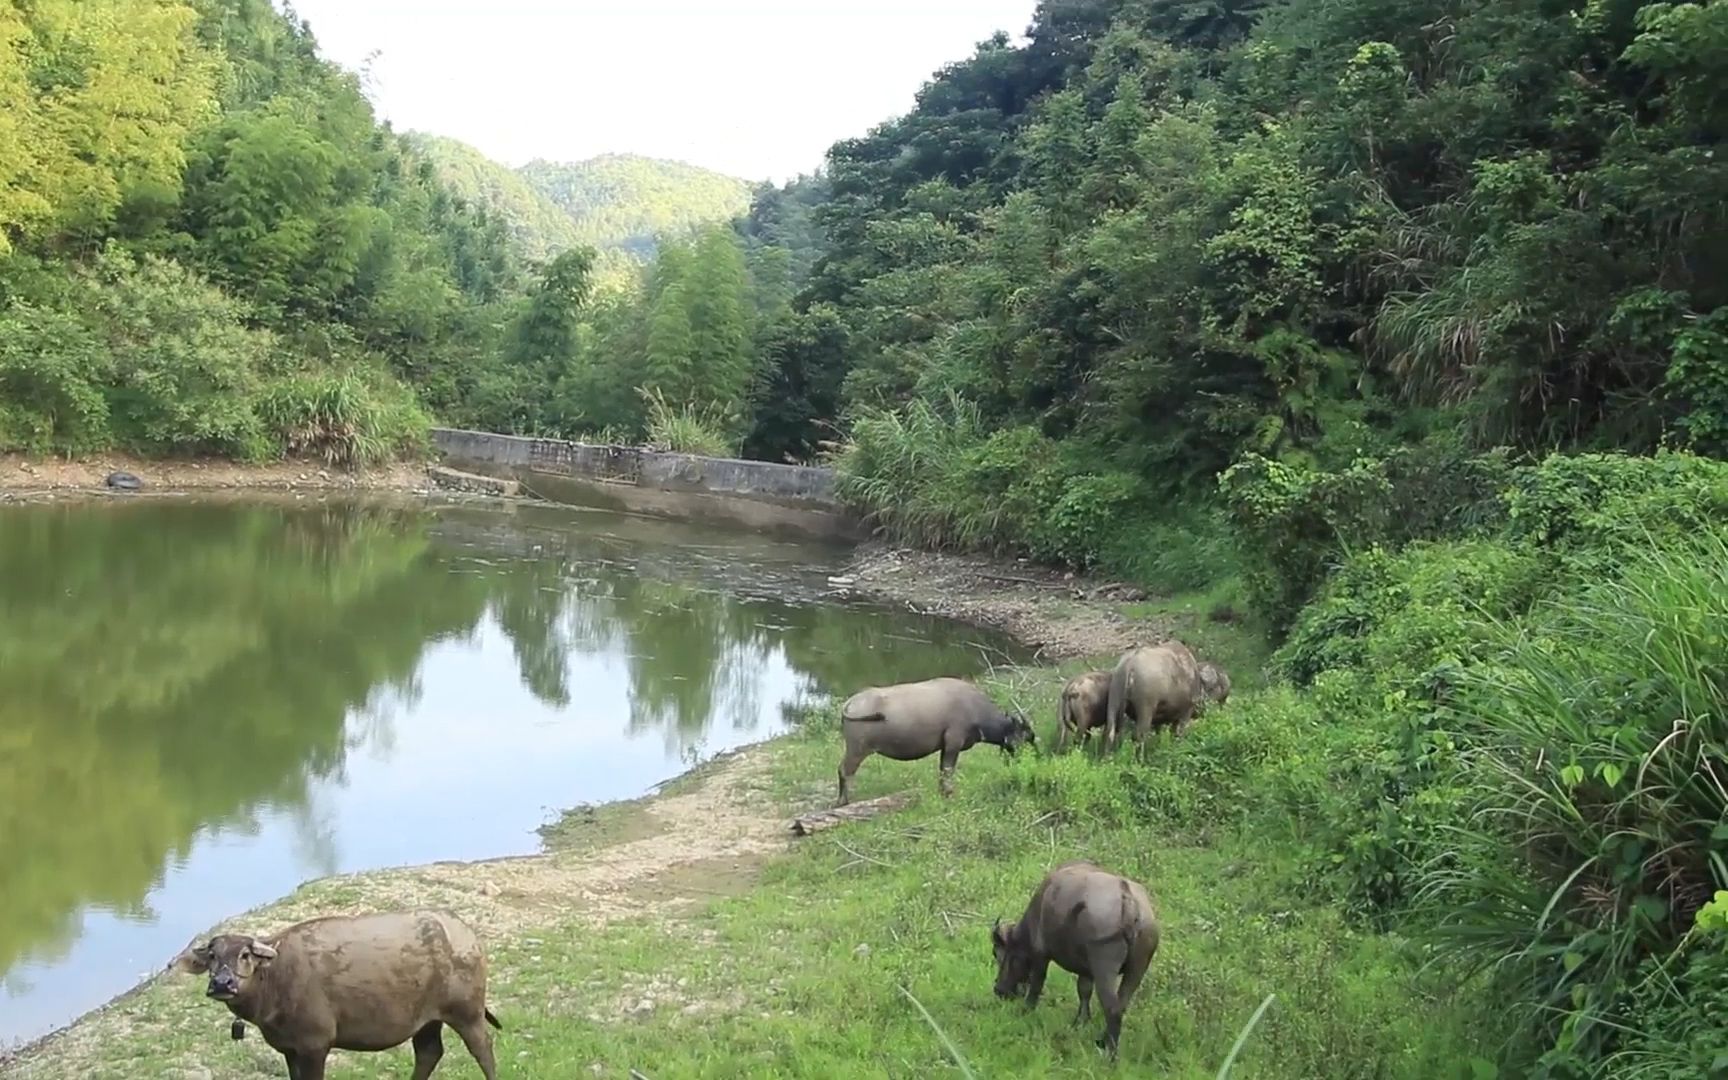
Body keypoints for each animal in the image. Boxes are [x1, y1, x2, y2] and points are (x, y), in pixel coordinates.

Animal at [169, 905, 501, 1071]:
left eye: (245, 955)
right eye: (212, 956)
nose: (222, 983)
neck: (275, 983)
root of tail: (470, 936)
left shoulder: (315, 1044)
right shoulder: (289, 1047)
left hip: (467, 1011)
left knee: (483, 1048)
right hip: (427, 1019)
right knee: (429, 1052)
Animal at [832, 677, 1029, 805]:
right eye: (1026, 736)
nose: (1025, 757)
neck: (976, 708)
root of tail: (850, 703)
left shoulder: (945, 747)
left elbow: (942, 771)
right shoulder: (953, 743)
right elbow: (948, 770)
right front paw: (949, 794)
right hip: (857, 749)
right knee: (845, 771)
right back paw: (844, 801)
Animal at [988, 864, 1161, 1057]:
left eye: (996, 953)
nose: (998, 989)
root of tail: (1127, 898)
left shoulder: (1041, 954)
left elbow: (1036, 984)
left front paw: (1026, 1009)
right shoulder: (1086, 972)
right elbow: (1084, 991)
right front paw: (1080, 1022)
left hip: (1104, 968)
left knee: (1112, 1008)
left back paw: (1109, 1052)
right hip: (1137, 968)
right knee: (1121, 1004)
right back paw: (1102, 1041)